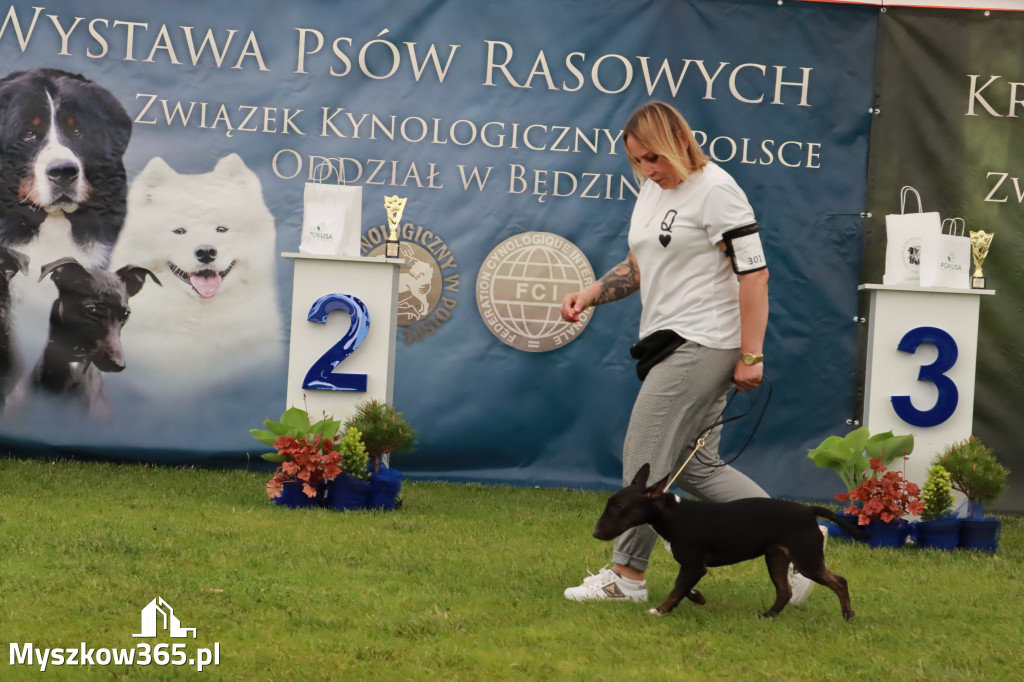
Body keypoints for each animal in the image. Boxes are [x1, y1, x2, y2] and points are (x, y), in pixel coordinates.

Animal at [598, 462, 868, 614]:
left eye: (619, 507)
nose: (596, 533)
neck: (673, 514)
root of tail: (809, 511)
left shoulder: (694, 566)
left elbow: (677, 589)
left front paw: (660, 610)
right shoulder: (692, 567)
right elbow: (682, 587)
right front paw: (698, 598)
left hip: (807, 559)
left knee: (839, 581)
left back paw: (848, 614)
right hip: (776, 558)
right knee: (785, 591)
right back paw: (767, 616)